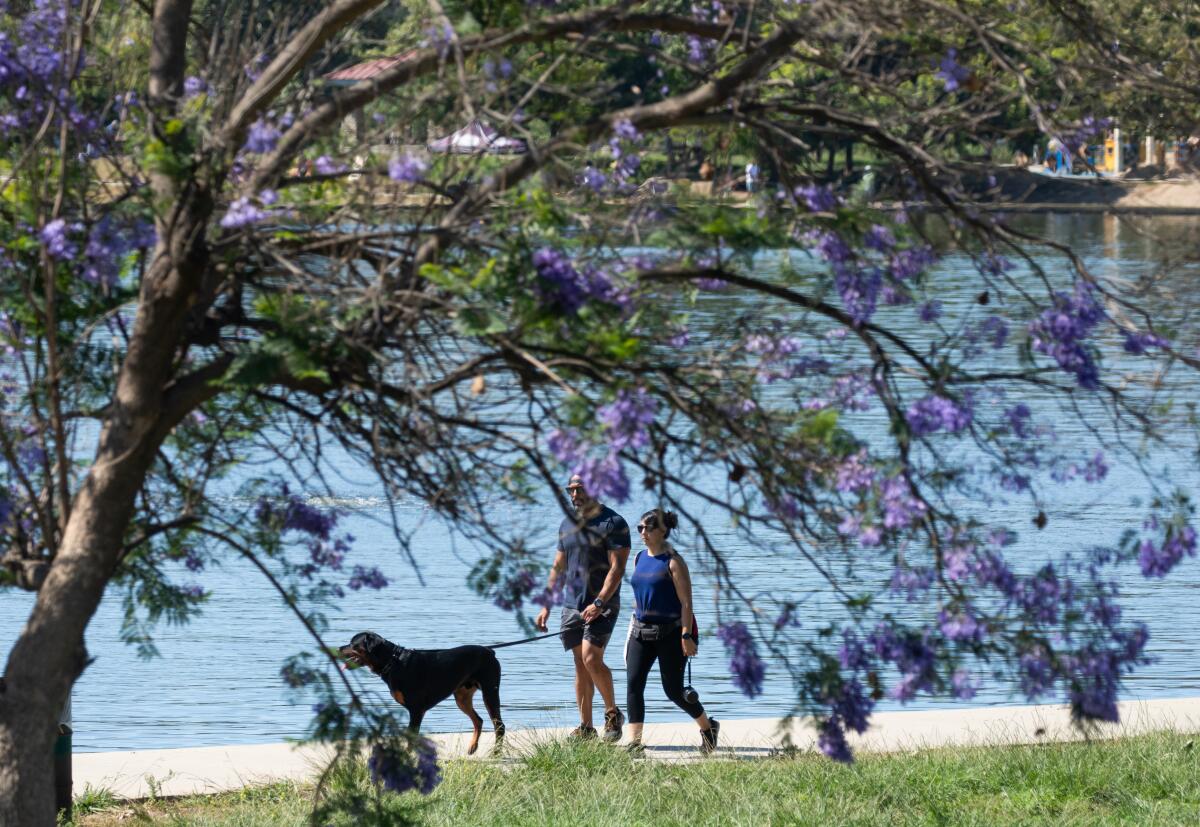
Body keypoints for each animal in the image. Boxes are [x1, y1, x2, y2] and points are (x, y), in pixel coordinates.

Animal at [338, 633, 506, 753]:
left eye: (353, 644)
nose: (339, 648)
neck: (393, 662)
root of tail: (490, 651)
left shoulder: (416, 710)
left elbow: (411, 739)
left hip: (490, 692)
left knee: (499, 726)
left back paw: (496, 753)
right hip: (462, 697)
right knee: (478, 720)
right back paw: (472, 746)